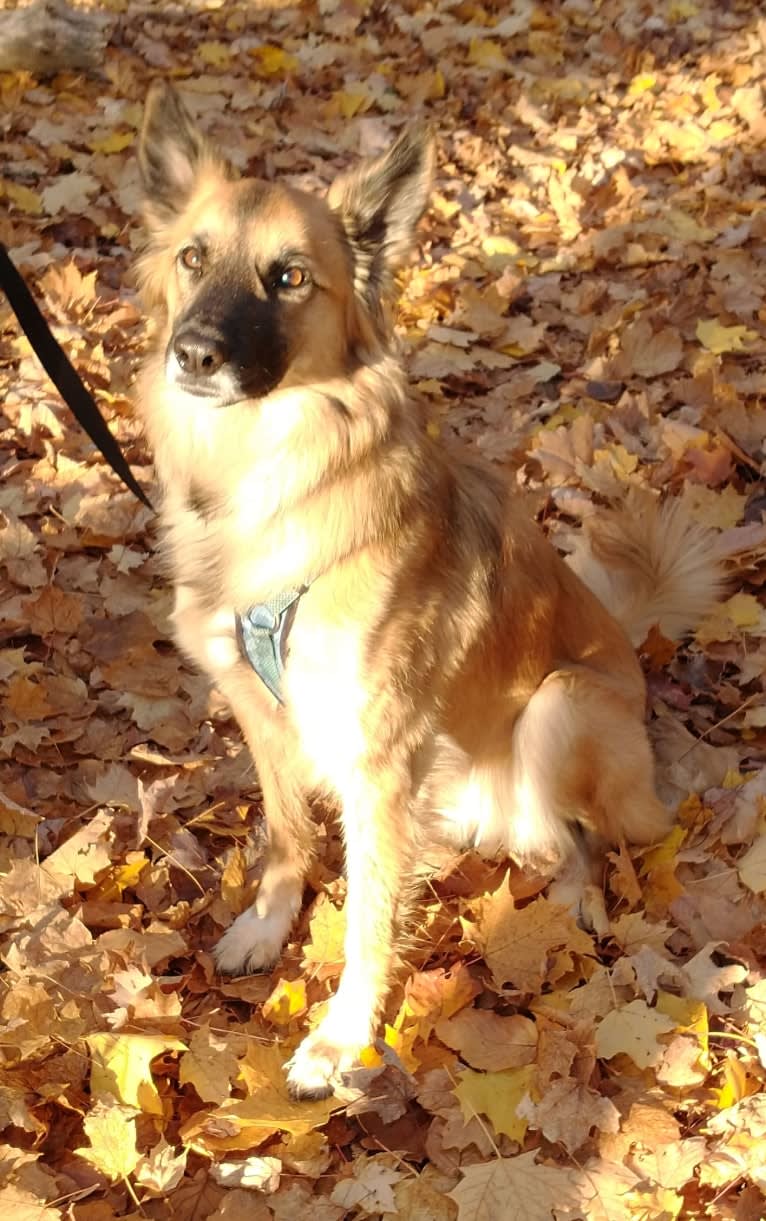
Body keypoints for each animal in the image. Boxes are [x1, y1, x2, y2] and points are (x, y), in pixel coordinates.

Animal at [134, 81, 723, 1103]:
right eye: (193, 258)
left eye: (290, 277)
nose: (194, 353)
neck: (275, 481)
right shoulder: (262, 711)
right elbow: (286, 833)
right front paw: (268, 922)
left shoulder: (378, 755)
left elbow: (371, 915)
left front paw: (341, 1038)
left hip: (561, 705)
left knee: (585, 845)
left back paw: (578, 909)